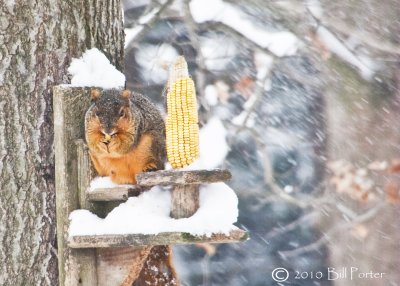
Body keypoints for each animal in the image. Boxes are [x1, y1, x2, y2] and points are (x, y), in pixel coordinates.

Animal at [85, 88, 179, 284]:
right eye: (97, 113)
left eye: (122, 113)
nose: (108, 131)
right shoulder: (88, 126)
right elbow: (91, 139)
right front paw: (100, 141)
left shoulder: (136, 127)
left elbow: (125, 142)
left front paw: (115, 142)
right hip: (100, 163)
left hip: (151, 144)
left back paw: (150, 167)